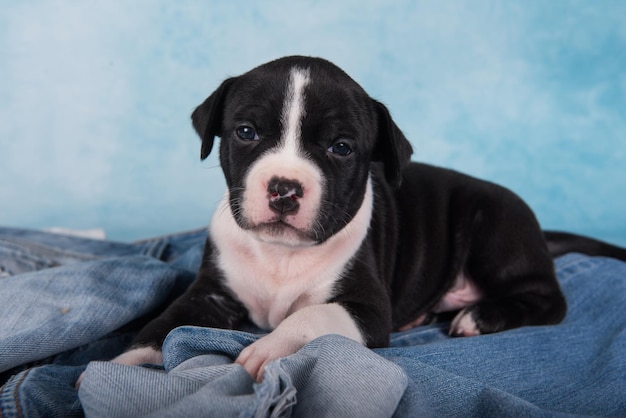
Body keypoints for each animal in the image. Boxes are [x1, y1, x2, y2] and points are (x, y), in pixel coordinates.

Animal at [102, 56, 624, 382]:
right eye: (246, 133)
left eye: (341, 147)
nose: (284, 188)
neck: (280, 254)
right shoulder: (210, 293)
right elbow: (165, 325)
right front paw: (126, 364)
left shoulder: (367, 309)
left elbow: (312, 315)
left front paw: (272, 348)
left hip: (495, 226)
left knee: (549, 300)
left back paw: (480, 315)